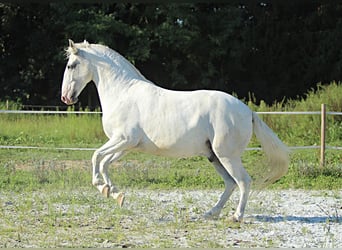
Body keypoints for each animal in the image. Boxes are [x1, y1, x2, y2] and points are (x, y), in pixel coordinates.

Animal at [60, 40, 288, 222]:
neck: (122, 93)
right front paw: (114, 193)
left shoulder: (123, 139)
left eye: (71, 65)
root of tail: (247, 111)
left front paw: (102, 187)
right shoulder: (126, 145)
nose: (66, 98)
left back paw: (236, 216)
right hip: (214, 156)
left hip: (227, 156)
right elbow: (104, 162)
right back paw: (210, 213)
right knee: (230, 184)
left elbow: (96, 156)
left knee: (243, 181)